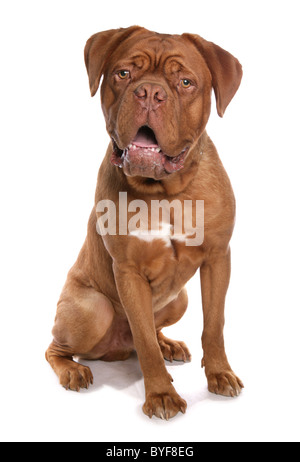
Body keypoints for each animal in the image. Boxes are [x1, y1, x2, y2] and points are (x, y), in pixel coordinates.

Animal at [46, 26, 244, 422]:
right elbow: (145, 342)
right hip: (93, 309)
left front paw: (220, 373)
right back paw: (73, 369)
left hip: (179, 299)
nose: (149, 93)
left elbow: (214, 324)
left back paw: (169, 344)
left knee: (153, 331)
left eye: (185, 82)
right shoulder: (129, 271)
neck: (166, 192)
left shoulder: (218, 258)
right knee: (58, 347)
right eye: (123, 74)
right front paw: (161, 395)